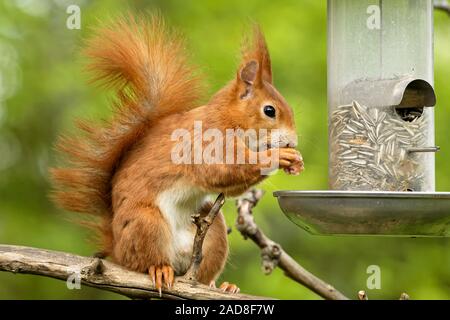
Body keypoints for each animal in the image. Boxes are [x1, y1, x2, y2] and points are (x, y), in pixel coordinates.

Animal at [51, 14, 304, 296]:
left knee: (199, 274)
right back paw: (160, 270)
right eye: (270, 111)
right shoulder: (205, 143)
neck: (227, 120)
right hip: (146, 224)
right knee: (144, 262)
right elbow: (223, 169)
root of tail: (116, 248)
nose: (292, 141)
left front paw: (294, 160)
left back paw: (221, 285)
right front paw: (281, 156)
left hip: (213, 232)